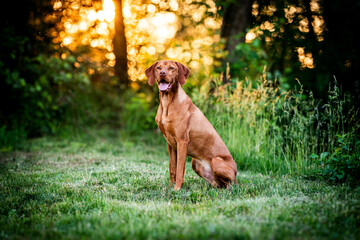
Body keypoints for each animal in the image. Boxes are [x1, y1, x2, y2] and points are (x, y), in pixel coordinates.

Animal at [145, 60, 238, 191]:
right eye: (158, 68)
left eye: (171, 68)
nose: (162, 73)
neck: (167, 102)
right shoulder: (170, 144)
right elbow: (172, 168)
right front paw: (170, 187)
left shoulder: (182, 141)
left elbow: (180, 170)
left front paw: (177, 189)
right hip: (196, 162)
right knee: (218, 183)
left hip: (216, 161)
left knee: (231, 184)